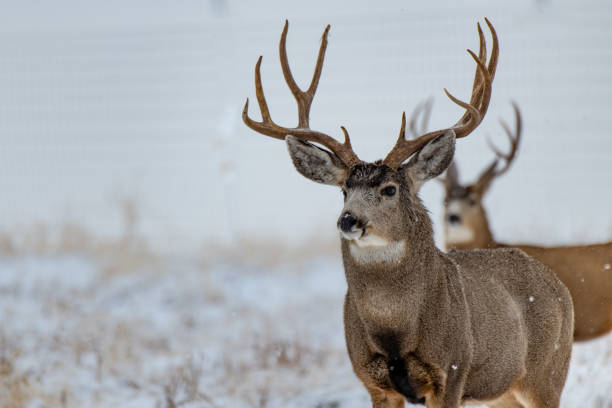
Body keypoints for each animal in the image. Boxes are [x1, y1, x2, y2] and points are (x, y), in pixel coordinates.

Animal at [240, 19, 572, 408]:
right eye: (343, 191)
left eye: (390, 189)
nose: (348, 220)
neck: (394, 328)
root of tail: (558, 284)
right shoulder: (372, 380)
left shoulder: (452, 372)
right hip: (502, 390)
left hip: (548, 371)